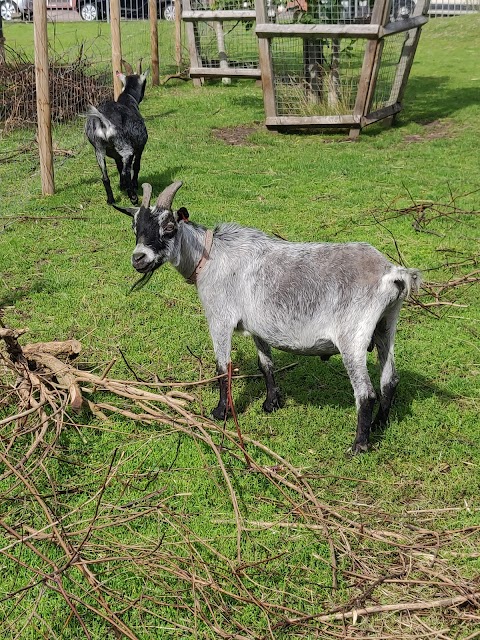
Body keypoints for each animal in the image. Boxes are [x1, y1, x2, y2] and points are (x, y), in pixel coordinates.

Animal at [85, 60, 148, 205]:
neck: (127, 100)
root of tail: (103, 122)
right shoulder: (140, 146)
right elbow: (136, 166)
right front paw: (134, 184)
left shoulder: (115, 154)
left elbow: (119, 167)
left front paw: (122, 185)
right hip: (125, 148)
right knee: (127, 171)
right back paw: (133, 197)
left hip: (98, 149)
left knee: (105, 176)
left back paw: (111, 200)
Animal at [115, 182, 420, 452]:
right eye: (135, 228)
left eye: (168, 227)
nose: (138, 258)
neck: (210, 257)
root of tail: (392, 273)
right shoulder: (258, 327)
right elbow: (266, 365)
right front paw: (271, 403)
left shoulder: (220, 319)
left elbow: (222, 368)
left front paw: (220, 412)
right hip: (385, 325)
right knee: (390, 379)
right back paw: (380, 425)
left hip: (352, 338)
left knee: (365, 393)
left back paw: (359, 445)